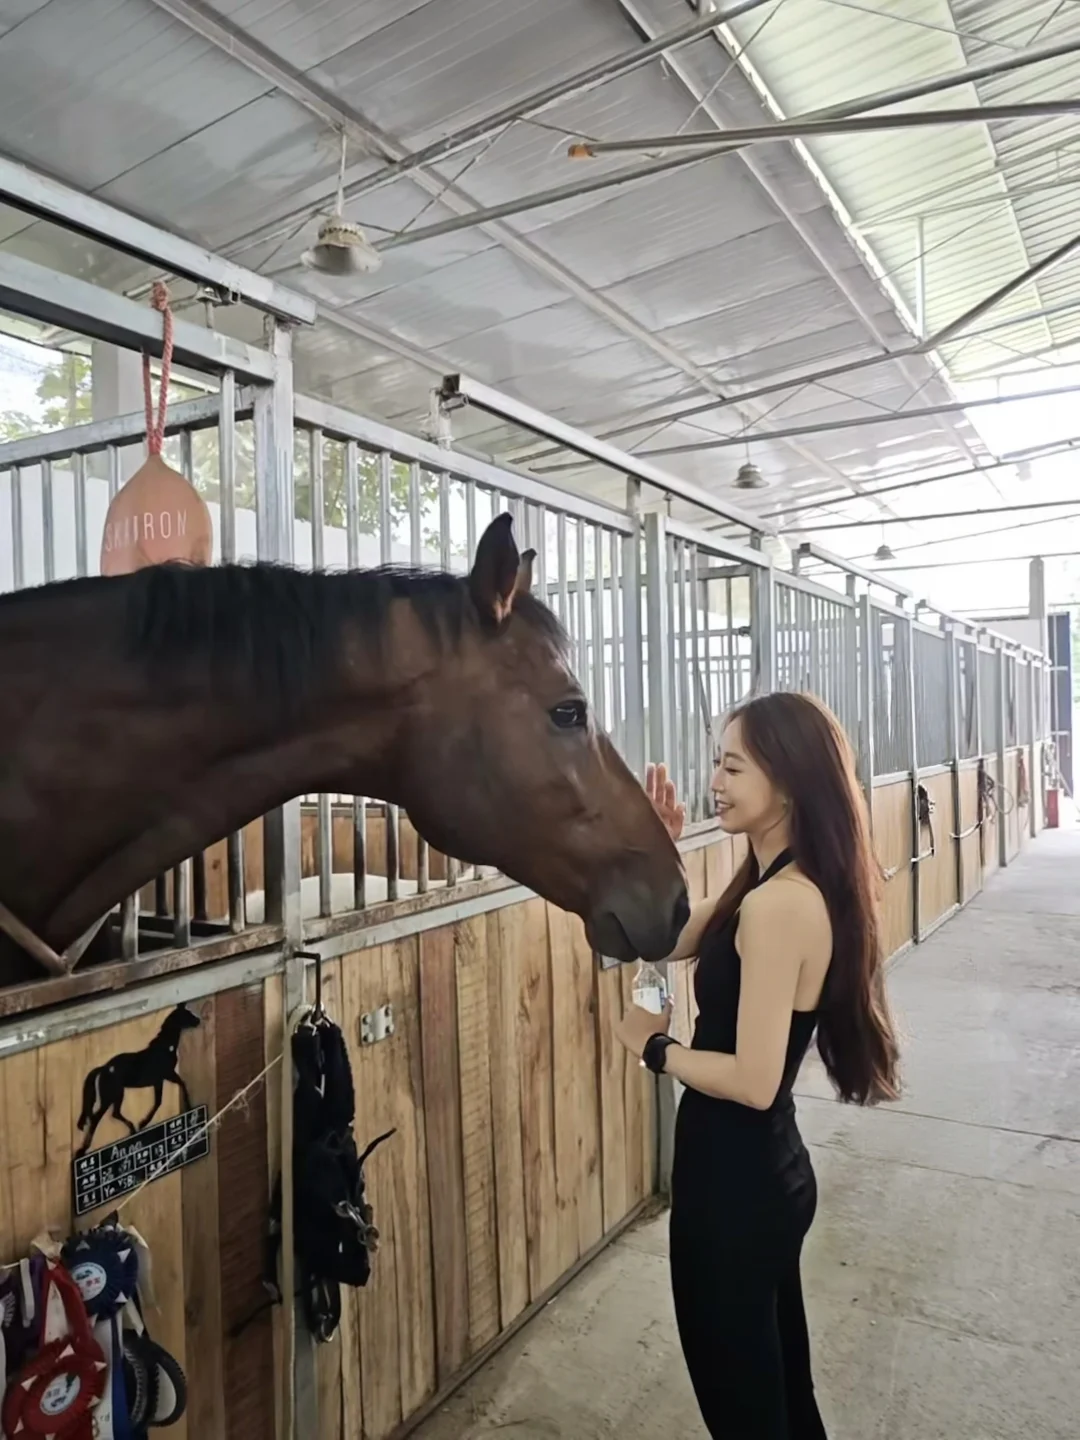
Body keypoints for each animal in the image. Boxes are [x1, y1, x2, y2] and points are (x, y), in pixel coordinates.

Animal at [75, 1003, 202, 1155]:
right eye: (186, 1014)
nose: (198, 1021)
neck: (164, 1048)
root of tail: (104, 1068)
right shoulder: (165, 1075)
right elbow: (169, 1094)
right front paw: (144, 1122)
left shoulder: (163, 1078)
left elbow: (169, 1093)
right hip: (111, 1096)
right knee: (97, 1118)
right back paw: (83, 1149)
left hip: (117, 1094)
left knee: (115, 1113)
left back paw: (133, 1129)